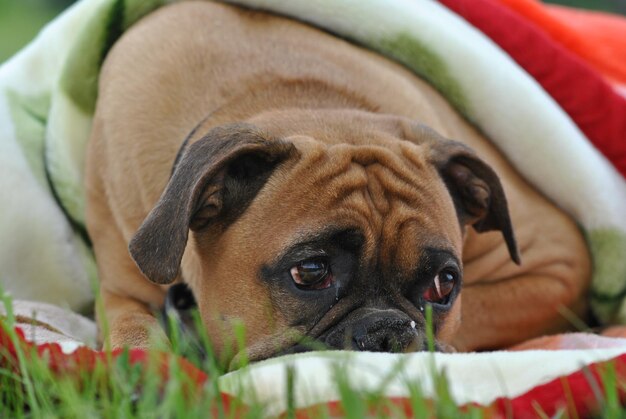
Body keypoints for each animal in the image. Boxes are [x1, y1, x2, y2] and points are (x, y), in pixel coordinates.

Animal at [84, 0, 588, 364]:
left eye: (444, 285)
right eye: (310, 272)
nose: (388, 331)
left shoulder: (556, 267)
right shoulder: (122, 293)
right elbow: (131, 330)